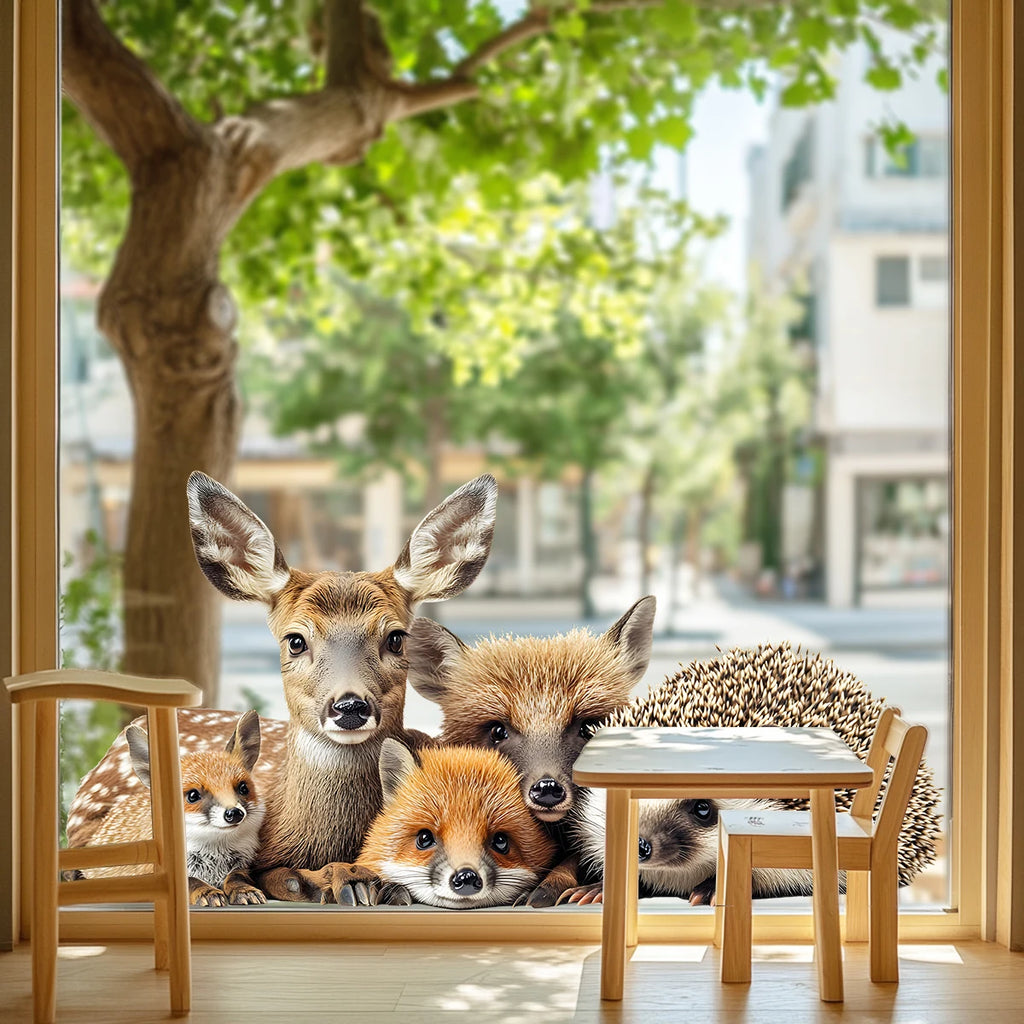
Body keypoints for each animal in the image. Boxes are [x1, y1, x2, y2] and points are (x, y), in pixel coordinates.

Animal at [66, 710, 267, 907]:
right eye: (193, 795)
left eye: (243, 788)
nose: (234, 813)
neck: (214, 856)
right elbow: (191, 882)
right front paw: (208, 892)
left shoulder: (243, 864)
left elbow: (236, 877)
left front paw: (243, 890)